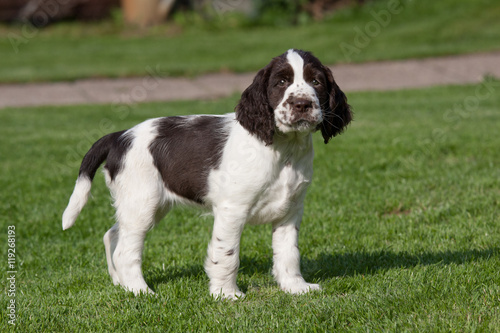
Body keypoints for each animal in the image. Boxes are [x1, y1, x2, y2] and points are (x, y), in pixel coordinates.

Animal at [62, 48, 352, 298]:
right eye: (281, 82)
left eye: (316, 81)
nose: (302, 104)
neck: (283, 148)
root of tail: (119, 136)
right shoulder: (232, 209)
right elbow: (227, 254)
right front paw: (226, 294)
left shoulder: (290, 210)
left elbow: (289, 253)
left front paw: (296, 287)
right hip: (142, 203)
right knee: (125, 250)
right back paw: (139, 291)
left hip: (147, 204)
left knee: (112, 234)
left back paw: (119, 283)